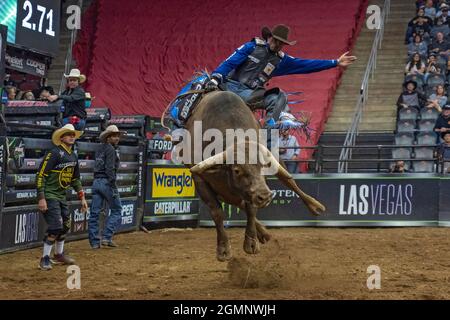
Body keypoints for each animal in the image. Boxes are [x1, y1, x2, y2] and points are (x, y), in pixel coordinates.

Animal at [172, 90, 324, 262]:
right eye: (237, 170)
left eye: (262, 166)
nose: (265, 196)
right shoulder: (200, 179)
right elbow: (217, 212)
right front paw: (223, 249)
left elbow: (251, 208)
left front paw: (251, 242)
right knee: (239, 202)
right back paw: (264, 233)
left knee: (288, 181)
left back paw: (315, 206)